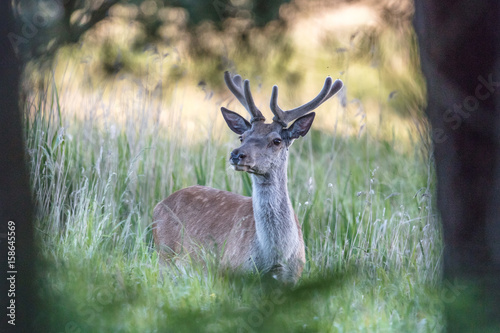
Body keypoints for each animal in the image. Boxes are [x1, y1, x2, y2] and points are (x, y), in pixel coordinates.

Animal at [153, 71, 344, 282]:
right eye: (242, 137)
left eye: (277, 141)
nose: (236, 154)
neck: (275, 257)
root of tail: (158, 205)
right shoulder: (230, 270)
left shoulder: (294, 276)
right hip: (164, 256)